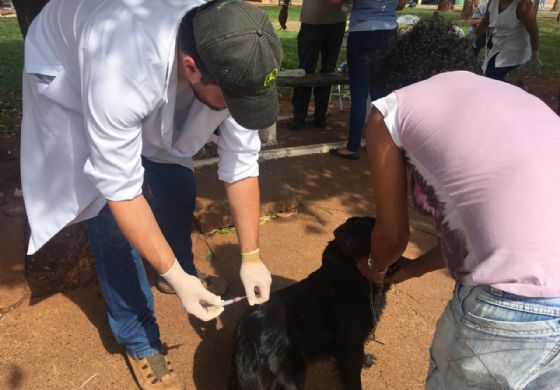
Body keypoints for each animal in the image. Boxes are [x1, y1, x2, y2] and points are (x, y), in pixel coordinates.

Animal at [228, 216, 390, 390]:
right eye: (362, 227)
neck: (348, 278)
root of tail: (244, 337)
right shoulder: (350, 346)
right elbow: (353, 378)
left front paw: (365, 360)